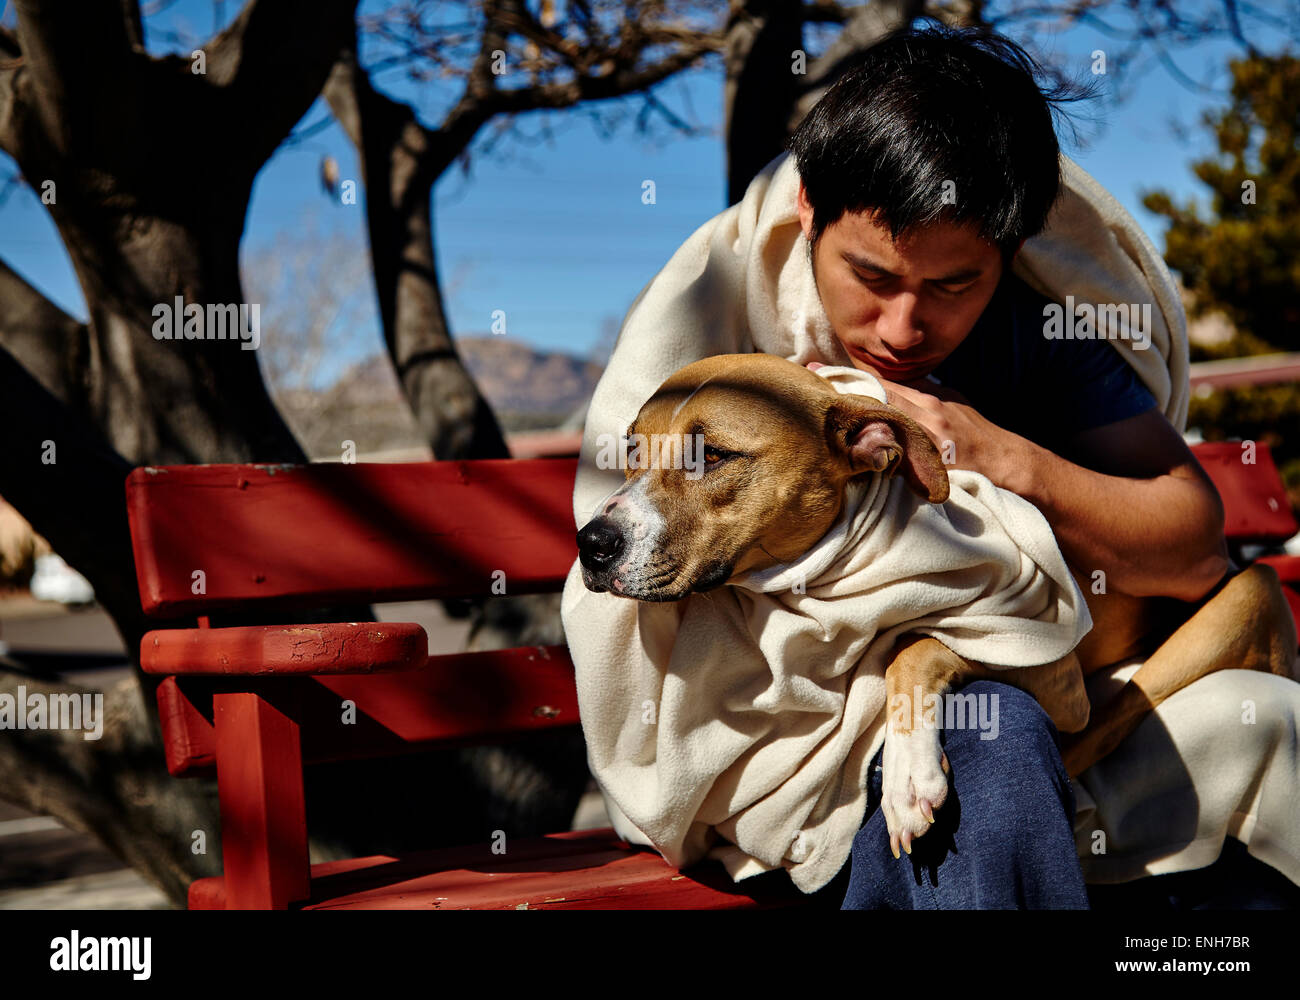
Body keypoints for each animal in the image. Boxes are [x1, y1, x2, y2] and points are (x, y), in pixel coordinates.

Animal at [582, 353, 1300, 853]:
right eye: (632, 450)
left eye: (713, 455)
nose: (591, 543)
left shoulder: (1047, 657)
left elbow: (917, 643)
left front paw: (907, 778)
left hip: (1247, 592)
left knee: (1108, 721)